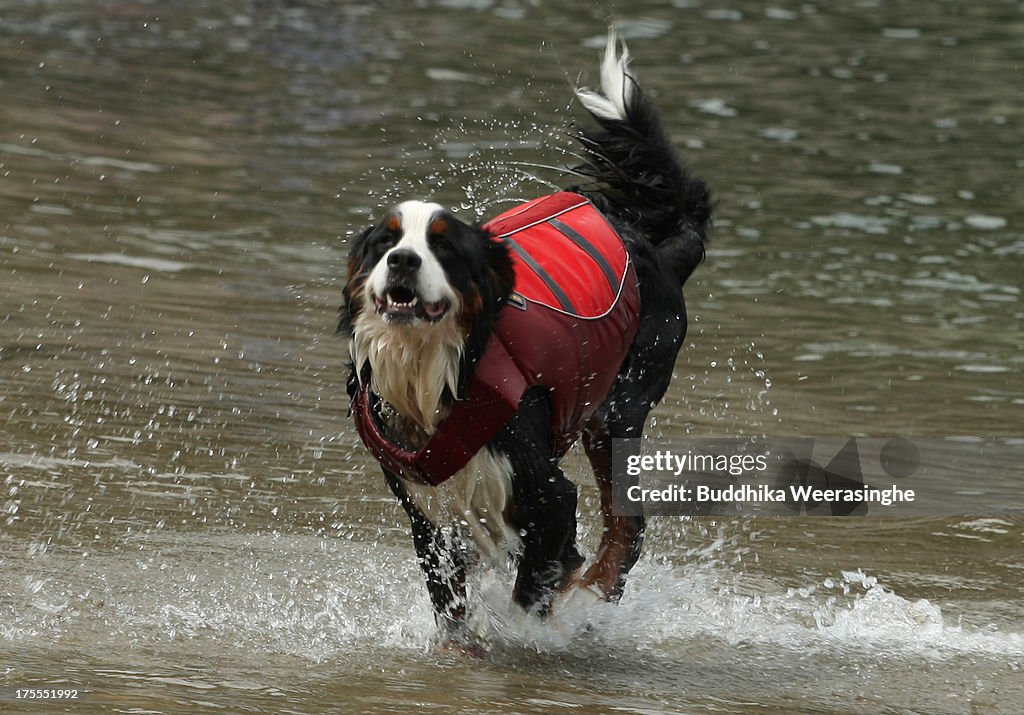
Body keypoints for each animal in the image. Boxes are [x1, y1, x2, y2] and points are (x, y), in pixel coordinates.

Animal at [339, 32, 708, 647]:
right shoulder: (428, 516)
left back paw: (596, 592)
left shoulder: (548, 495)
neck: (431, 373)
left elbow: (532, 593)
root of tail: (653, 248)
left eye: (443, 246)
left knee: (626, 523)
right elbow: (453, 608)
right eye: (384, 243)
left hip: (618, 409)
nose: (403, 260)